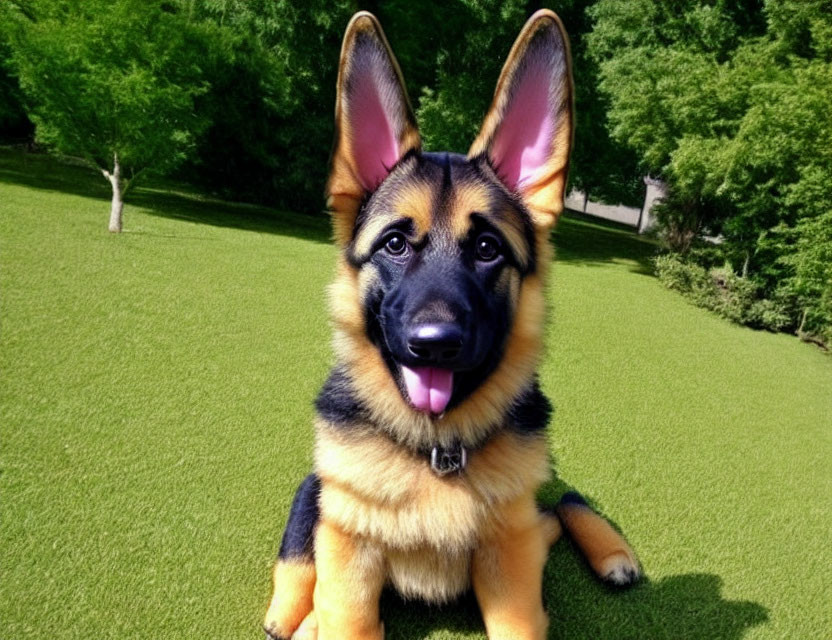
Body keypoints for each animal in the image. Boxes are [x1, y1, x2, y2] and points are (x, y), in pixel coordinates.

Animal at [264, 10, 640, 640]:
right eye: (394, 244)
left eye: (488, 248)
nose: (434, 346)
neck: (436, 451)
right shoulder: (350, 554)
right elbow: (340, 605)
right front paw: (314, 611)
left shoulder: (511, 565)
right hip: (324, 494)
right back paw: (294, 610)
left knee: (564, 501)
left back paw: (616, 555)